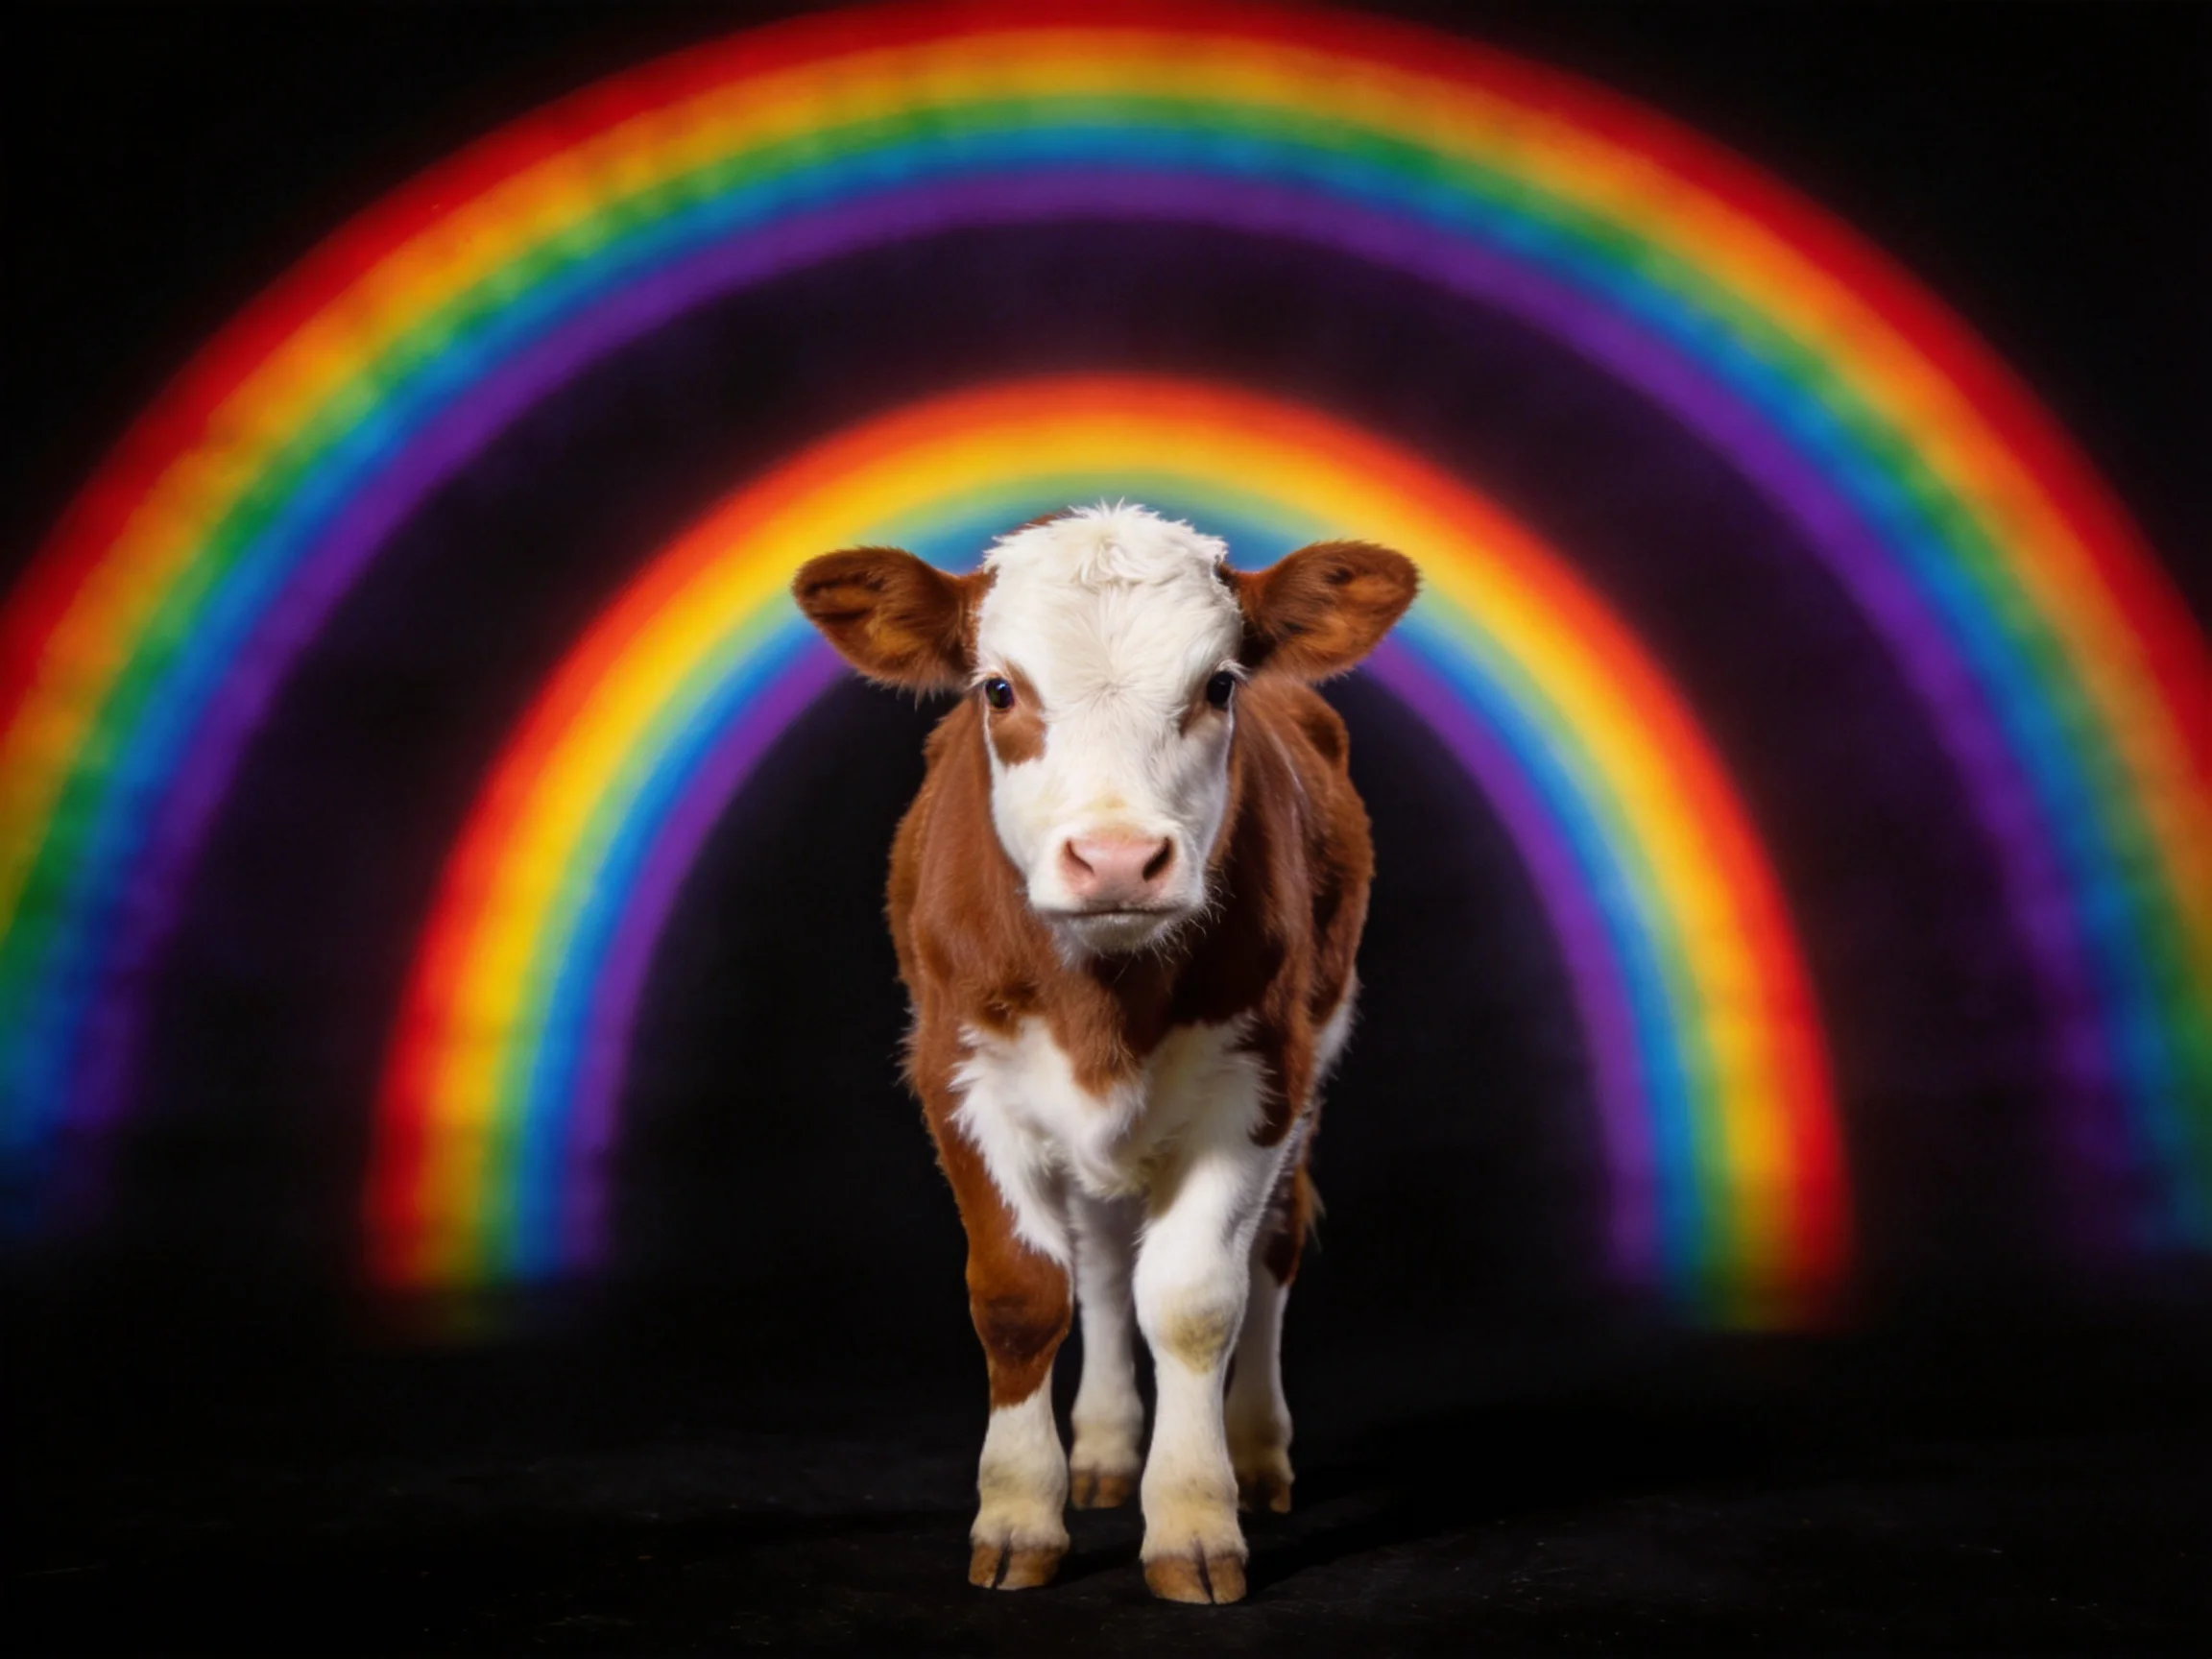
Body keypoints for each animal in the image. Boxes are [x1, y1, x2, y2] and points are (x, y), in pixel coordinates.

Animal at [791, 504, 1417, 1604]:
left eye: (1220, 685)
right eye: (999, 688)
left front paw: (1196, 1520)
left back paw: (1256, 1453)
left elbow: (1196, 1299)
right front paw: (1017, 1514)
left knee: (1270, 1248)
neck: (1105, 999)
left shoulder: (1263, 1075)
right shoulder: (957, 1073)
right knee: (1100, 1260)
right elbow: (1023, 1295)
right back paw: (1103, 1450)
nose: (1118, 860)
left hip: (1316, 1054)